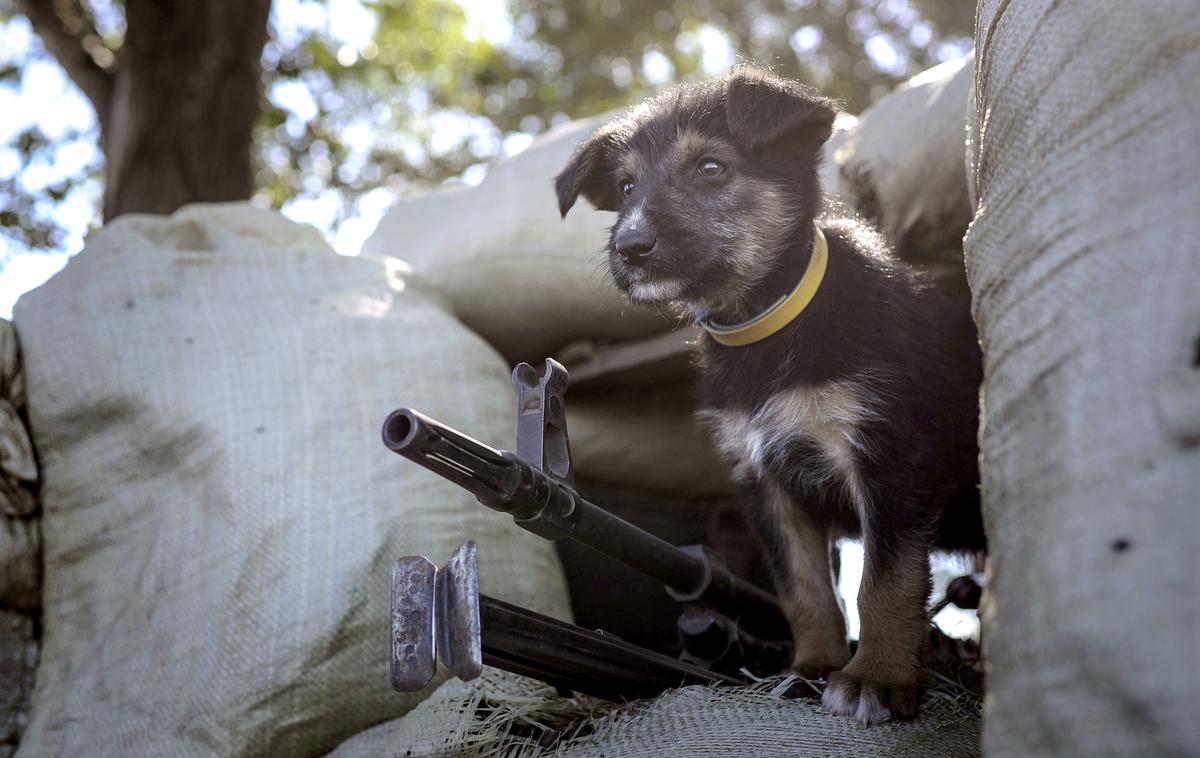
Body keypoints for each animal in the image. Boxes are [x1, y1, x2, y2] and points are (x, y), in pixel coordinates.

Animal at [552, 66, 984, 724]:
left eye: (710, 168)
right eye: (625, 187)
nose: (629, 248)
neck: (766, 324)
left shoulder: (886, 460)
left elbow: (884, 581)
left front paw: (875, 677)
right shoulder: (765, 479)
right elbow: (803, 588)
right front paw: (812, 666)